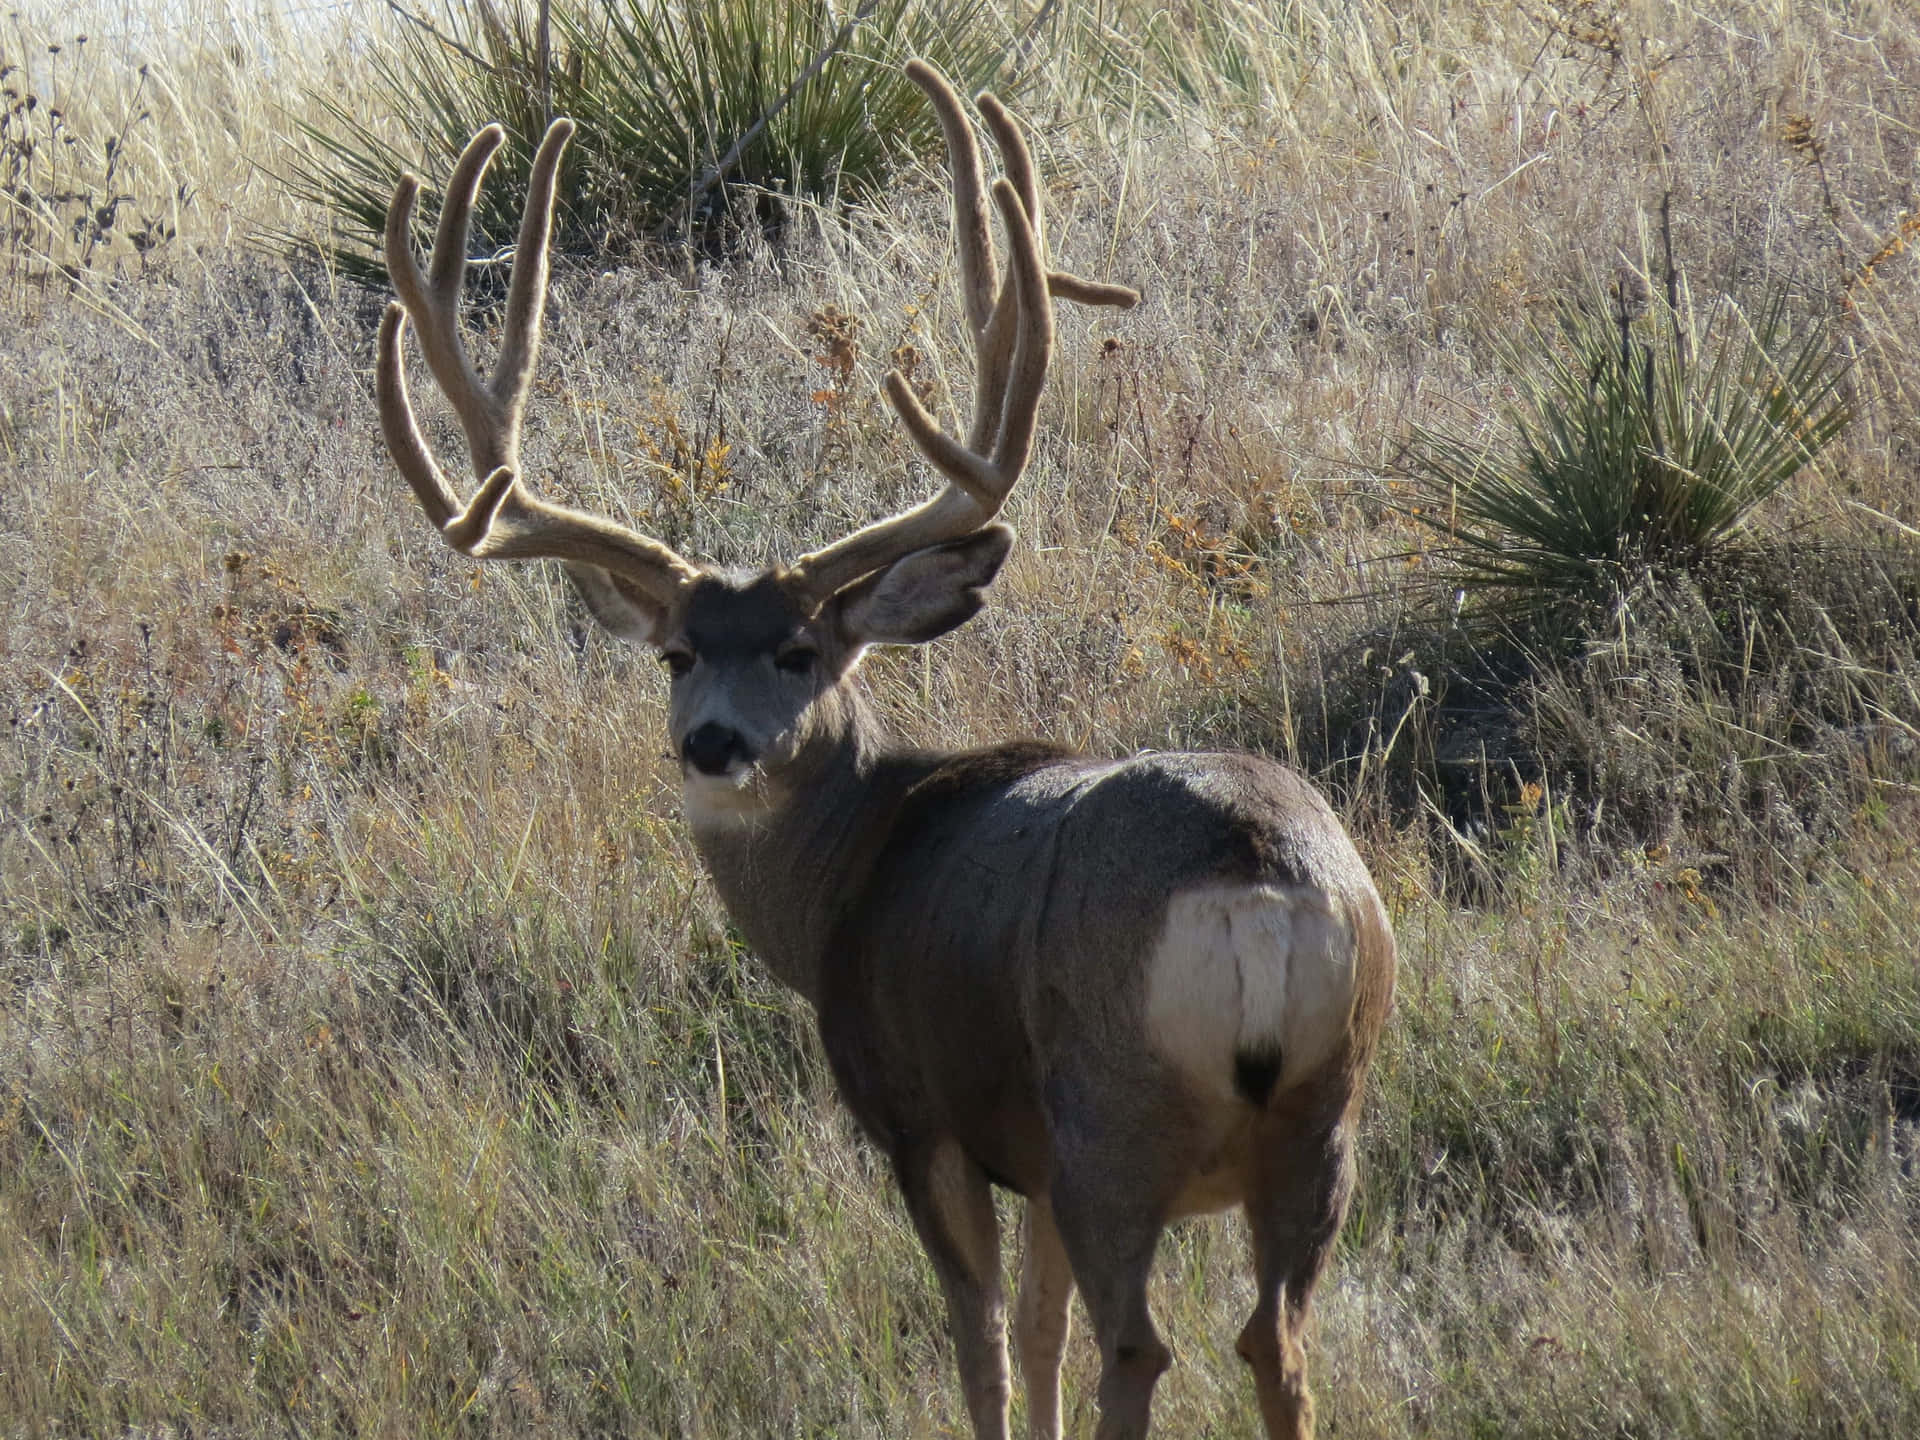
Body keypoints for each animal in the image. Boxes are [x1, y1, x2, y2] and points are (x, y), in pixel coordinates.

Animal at [374, 61, 1396, 1440]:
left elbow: (987, 1344)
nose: (713, 743)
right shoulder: (1023, 1147)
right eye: (677, 653)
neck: (851, 876)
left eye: (801, 650)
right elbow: (1039, 1331)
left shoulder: (924, 1116)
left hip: (1109, 1111)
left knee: (1144, 1343)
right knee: (1274, 1339)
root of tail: (1259, 880)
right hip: (1326, 1107)